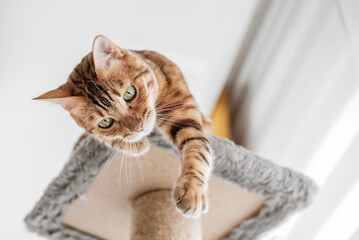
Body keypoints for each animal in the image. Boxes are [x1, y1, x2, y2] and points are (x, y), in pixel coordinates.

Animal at [35, 36, 212, 219]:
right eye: (105, 122)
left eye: (129, 93)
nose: (139, 127)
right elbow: (106, 138)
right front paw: (137, 144)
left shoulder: (183, 112)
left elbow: (197, 148)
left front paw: (192, 190)